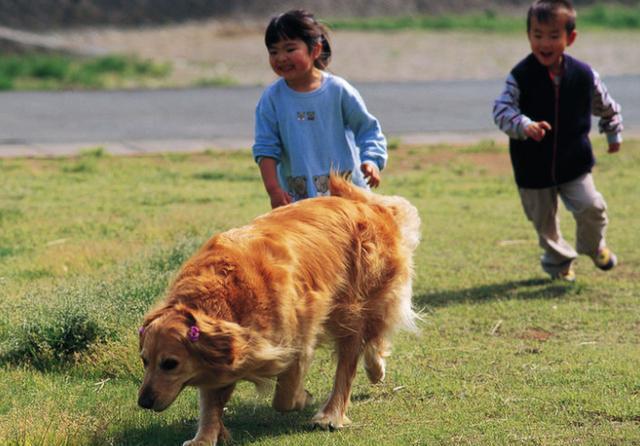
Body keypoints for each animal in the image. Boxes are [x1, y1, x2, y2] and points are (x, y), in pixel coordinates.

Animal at [138, 174, 420, 446]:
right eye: (144, 360)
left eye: (170, 364)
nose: (143, 402)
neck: (224, 294)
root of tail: (366, 205)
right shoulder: (221, 353)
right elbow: (211, 401)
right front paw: (205, 437)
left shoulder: (295, 338)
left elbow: (283, 397)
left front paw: (302, 398)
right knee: (372, 339)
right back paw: (375, 369)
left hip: (354, 306)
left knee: (351, 359)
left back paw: (331, 414)